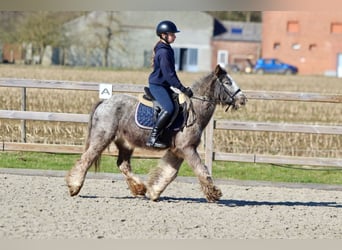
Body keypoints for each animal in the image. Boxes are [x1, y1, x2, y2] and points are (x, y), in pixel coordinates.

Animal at [66, 63, 246, 202]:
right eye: (227, 82)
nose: (243, 99)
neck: (193, 109)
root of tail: (105, 102)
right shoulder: (187, 148)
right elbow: (201, 170)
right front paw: (214, 194)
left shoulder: (177, 151)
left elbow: (170, 173)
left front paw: (153, 192)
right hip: (102, 138)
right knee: (86, 159)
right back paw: (74, 187)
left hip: (125, 143)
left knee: (123, 164)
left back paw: (139, 188)